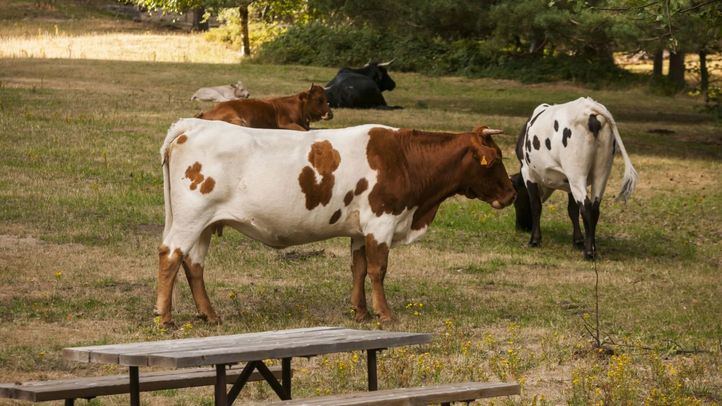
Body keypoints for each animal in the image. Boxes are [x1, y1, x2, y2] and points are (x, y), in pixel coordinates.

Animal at [155, 119, 517, 326]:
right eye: (497, 159)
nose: (513, 193)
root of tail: (194, 126)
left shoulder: (360, 229)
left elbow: (358, 268)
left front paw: (360, 312)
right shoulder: (381, 222)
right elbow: (378, 270)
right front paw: (385, 314)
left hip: (203, 224)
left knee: (194, 264)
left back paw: (210, 315)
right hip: (190, 217)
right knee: (171, 255)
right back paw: (165, 317)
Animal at [512, 97, 638, 259]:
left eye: (516, 200)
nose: (520, 228)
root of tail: (590, 107)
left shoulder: (528, 173)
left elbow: (536, 206)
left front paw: (534, 240)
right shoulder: (568, 183)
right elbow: (572, 210)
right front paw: (578, 241)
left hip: (577, 174)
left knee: (586, 207)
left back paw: (589, 252)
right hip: (600, 173)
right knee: (594, 208)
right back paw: (592, 247)